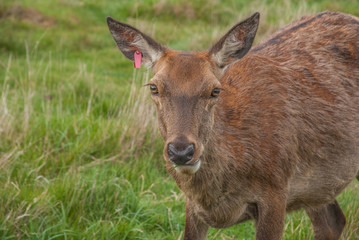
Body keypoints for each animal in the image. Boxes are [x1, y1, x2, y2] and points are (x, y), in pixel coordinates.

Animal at [107, 10, 359, 240]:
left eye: (215, 90)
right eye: (154, 87)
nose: (181, 151)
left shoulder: (277, 189)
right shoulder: (192, 205)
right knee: (333, 221)